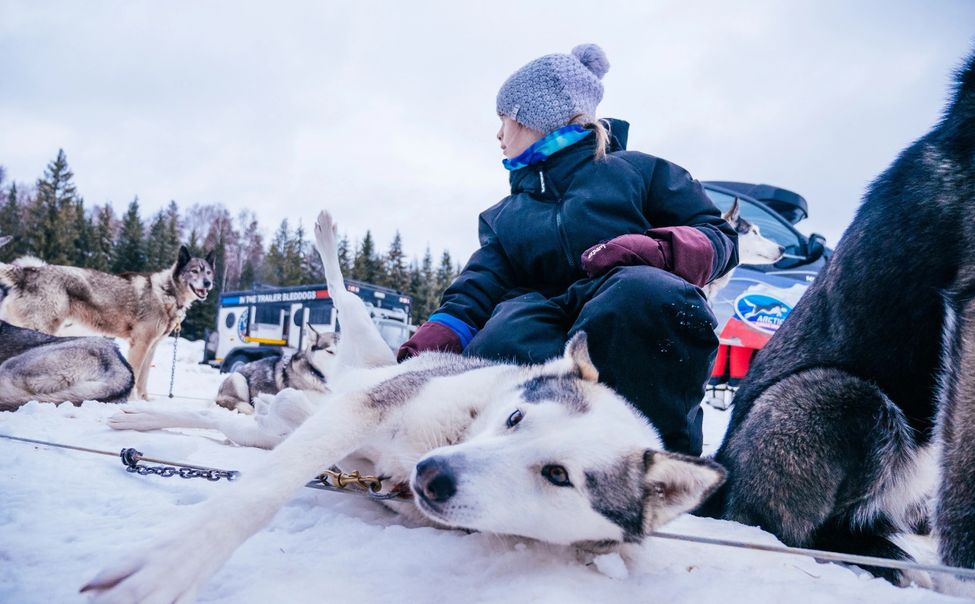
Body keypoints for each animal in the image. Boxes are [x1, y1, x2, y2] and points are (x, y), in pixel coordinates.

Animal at [87, 210, 728, 600]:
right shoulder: (365, 408)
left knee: (220, 419)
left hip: (276, 425)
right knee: (342, 293)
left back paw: (143, 415)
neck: (451, 434)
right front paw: (171, 563)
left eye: (557, 475)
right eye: (516, 418)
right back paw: (325, 235)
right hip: (357, 348)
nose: (433, 474)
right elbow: (260, 493)